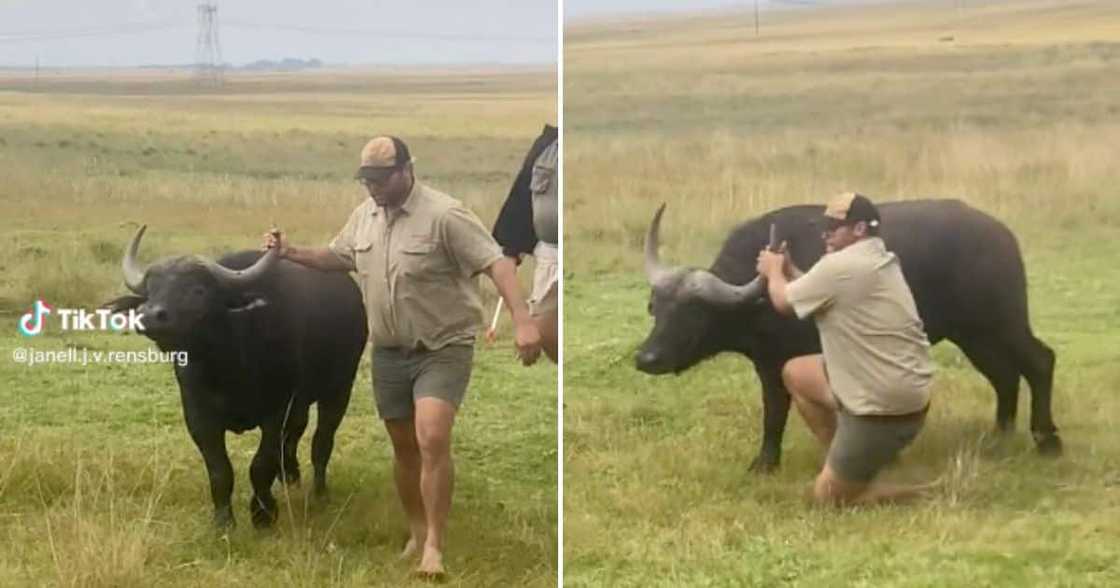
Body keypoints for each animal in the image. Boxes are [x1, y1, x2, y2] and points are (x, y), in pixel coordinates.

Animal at [105, 226, 367, 526]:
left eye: (198, 289)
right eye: (151, 290)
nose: (148, 315)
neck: (227, 366)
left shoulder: (276, 413)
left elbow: (260, 465)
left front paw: (263, 513)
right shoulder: (199, 418)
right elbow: (220, 470)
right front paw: (223, 520)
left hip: (339, 388)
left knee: (322, 440)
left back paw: (319, 492)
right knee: (295, 435)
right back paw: (290, 477)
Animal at [640, 199, 1057, 470]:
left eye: (693, 313)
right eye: (656, 307)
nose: (646, 358)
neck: (757, 299)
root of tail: (1001, 235)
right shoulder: (769, 365)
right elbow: (773, 412)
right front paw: (764, 463)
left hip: (1004, 321)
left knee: (1039, 361)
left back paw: (1047, 440)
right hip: (974, 334)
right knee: (1004, 375)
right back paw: (1000, 435)